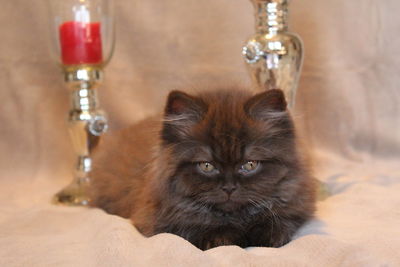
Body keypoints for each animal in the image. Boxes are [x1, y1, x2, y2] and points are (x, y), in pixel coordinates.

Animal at [90, 87, 316, 251]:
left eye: (250, 164)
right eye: (207, 166)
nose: (229, 188)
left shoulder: (295, 205)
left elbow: (280, 222)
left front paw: (265, 235)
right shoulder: (155, 219)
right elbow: (198, 228)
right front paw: (224, 237)